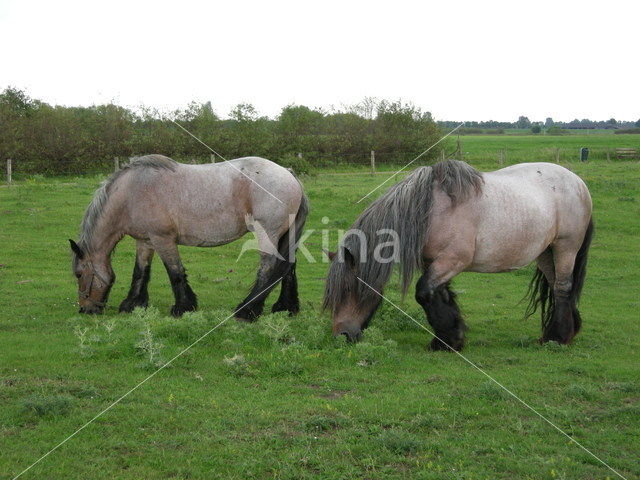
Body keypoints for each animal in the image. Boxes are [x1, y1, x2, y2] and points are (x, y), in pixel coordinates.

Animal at [71, 154, 308, 318]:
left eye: (79, 274)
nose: (85, 310)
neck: (131, 192)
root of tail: (288, 173)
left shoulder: (162, 239)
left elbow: (175, 272)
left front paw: (183, 307)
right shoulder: (145, 241)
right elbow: (140, 272)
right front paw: (133, 304)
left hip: (267, 234)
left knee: (268, 269)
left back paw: (246, 310)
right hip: (285, 235)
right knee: (288, 267)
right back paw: (285, 308)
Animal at [324, 159, 596, 350]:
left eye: (348, 289)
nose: (342, 335)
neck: (431, 211)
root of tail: (578, 182)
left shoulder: (453, 260)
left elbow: (424, 293)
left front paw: (446, 341)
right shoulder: (435, 262)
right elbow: (440, 294)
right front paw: (450, 339)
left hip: (565, 247)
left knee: (563, 287)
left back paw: (557, 338)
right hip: (545, 253)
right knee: (557, 286)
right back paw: (567, 330)